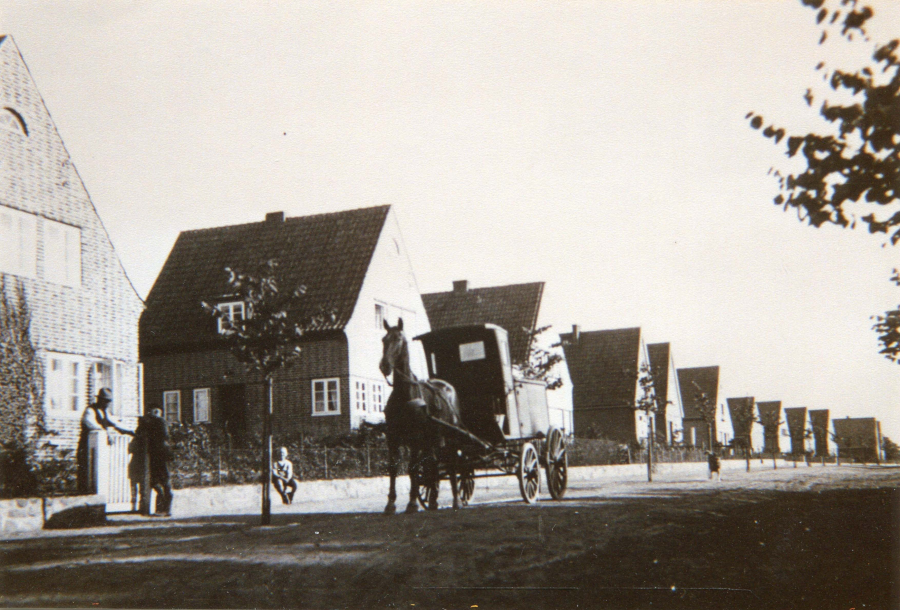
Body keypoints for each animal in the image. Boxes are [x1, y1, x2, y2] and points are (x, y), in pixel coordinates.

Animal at [380, 318, 464, 512]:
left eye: (399, 340)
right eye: (383, 340)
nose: (385, 366)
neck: (404, 395)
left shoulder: (415, 439)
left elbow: (412, 468)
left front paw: (411, 503)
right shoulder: (392, 438)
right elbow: (393, 468)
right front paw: (390, 503)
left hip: (450, 437)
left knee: (452, 465)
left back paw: (456, 500)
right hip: (433, 440)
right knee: (433, 464)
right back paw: (433, 500)